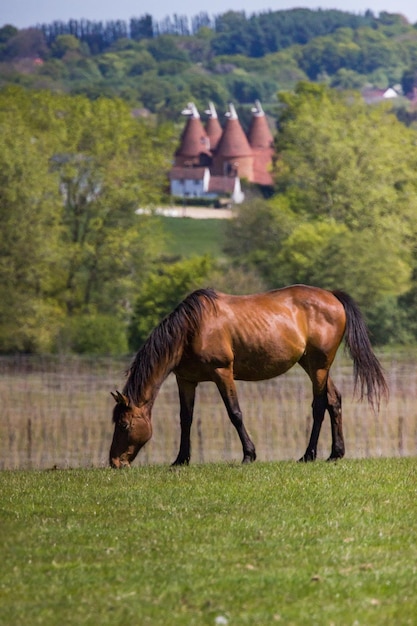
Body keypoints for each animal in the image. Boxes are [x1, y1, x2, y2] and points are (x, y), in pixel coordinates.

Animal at [108, 286, 386, 466]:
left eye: (124, 425)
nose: (114, 462)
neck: (192, 329)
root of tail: (333, 297)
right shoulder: (186, 380)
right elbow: (185, 419)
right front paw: (180, 459)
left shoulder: (222, 373)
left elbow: (235, 413)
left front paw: (249, 455)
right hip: (312, 365)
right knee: (334, 400)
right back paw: (335, 453)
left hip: (318, 366)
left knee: (319, 406)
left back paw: (308, 455)